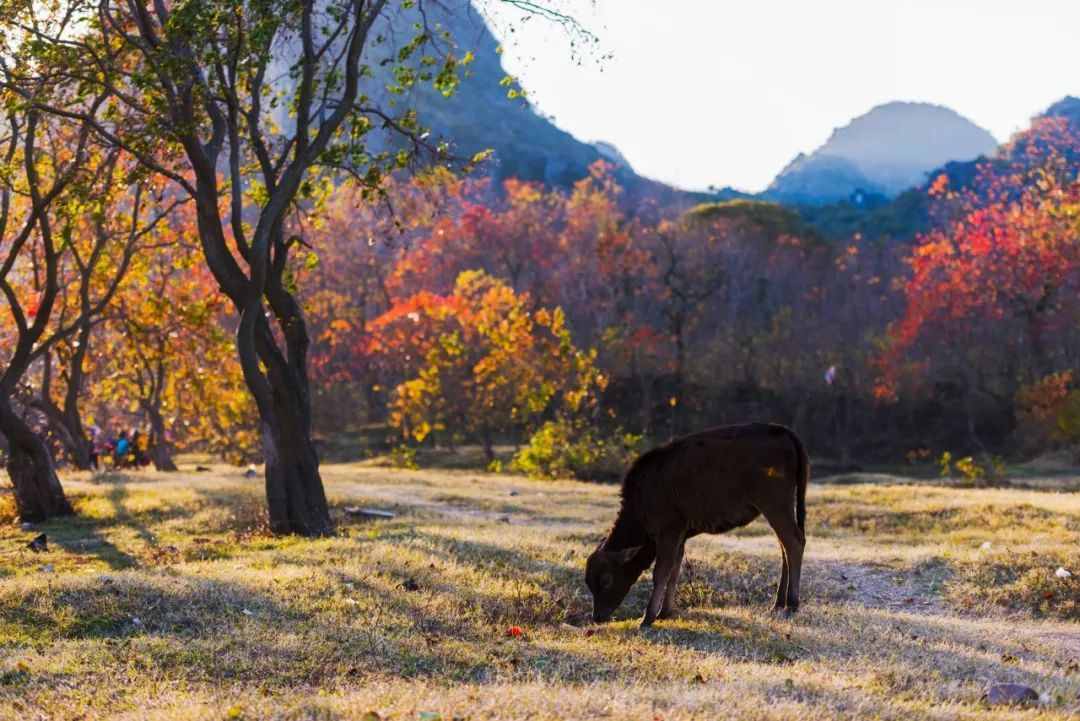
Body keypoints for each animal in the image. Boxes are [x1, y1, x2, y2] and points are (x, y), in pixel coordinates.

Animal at [587, 423, 807, 626]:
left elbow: (661, 572)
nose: (597, 617)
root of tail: (784, 431)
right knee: (784, 546)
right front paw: (665, 612)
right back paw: (778, 603)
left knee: (793, 542)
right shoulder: (680, 536)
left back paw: (791, 605)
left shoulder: (668, 532)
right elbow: (674, 570)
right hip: (779, 508)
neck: (642, 496)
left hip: (775, 505)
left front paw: (648, 618)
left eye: (606, 580)